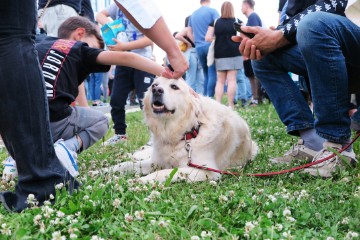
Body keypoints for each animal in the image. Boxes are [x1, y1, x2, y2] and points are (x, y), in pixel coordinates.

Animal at [91, 78, 258, 183]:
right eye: (154, 85)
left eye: (174, 87)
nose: (157, 90)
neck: (185, 133)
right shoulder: (156, 161)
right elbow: (124, 165)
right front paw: (99, 171)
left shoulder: (207, 171)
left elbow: (163, 172)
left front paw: (140, 180)